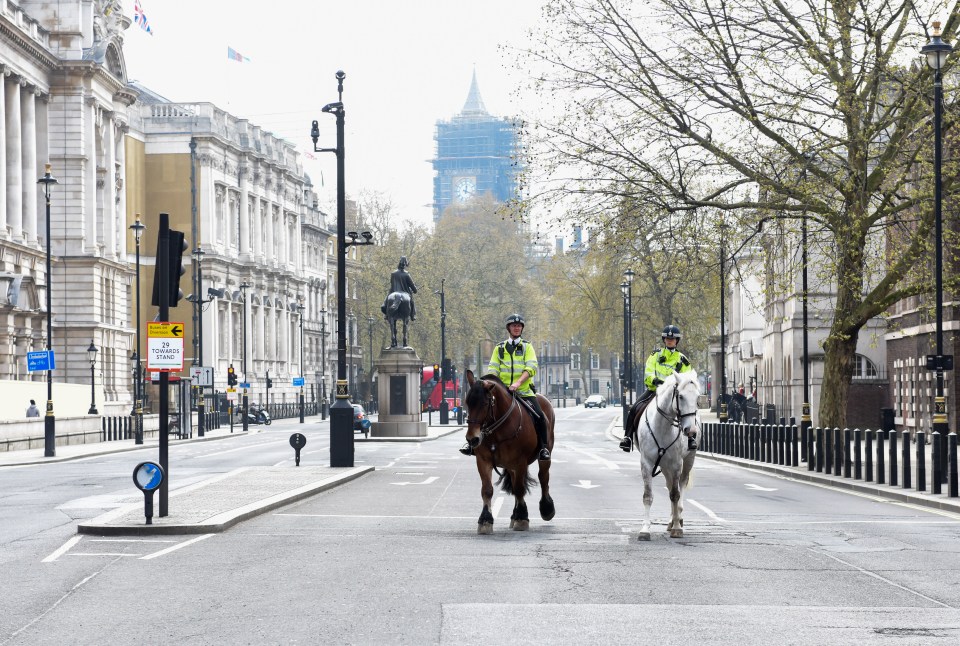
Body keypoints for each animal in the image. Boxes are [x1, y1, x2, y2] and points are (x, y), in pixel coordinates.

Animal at [464, 372, 556, 536]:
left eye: (484, 404)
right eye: (467, 402)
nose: (472, 439)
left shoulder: (520, 461)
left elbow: (520, 488)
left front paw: (522, 518)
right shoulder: (483, 460)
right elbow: (487, 490)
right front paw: (485, 520)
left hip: (544, 455)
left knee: (543, 477)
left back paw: (546, 508)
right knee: (514, 483)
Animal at [636, 370, 696, 540]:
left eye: (697, 397)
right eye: (680, 396)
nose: (691, 430)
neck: (662, 427)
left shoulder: (676, 464)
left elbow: (675, 495)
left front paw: (677, 528)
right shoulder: (647, 463)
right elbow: (648, 496)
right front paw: (645, 529)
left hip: (687, 461)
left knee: (680, 486)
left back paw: (676, 519)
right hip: (664, 465)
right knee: (669, 486)